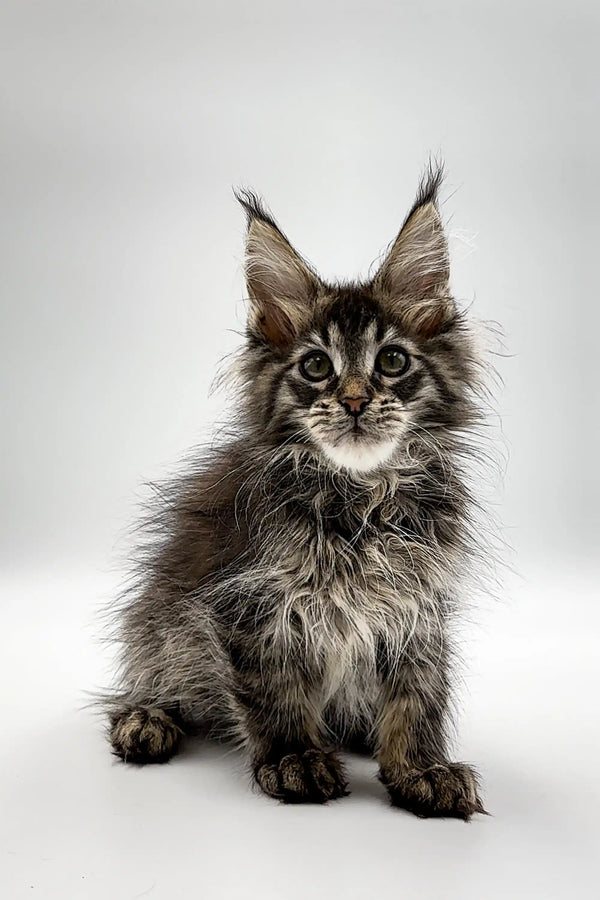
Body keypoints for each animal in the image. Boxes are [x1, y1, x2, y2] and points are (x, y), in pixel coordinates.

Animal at [106, 165, 488, 820]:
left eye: (392, 360)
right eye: (315, 367)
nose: (355, 401)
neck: (361, 502)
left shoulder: (415, 607)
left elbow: (418, 693)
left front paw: (421, 768)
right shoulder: (248, 605)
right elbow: (274, 689)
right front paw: (294, 759)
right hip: (162, 616)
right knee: (155, 675)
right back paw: (147, 718)